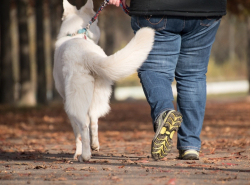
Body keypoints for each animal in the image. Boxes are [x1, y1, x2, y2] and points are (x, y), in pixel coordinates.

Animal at [53, 0, 154, 162]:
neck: (77, 34)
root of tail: (86, 54)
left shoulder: (66, 103)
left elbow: (76, 134)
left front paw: (77, 153)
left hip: (75, 101)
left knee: (84, 126)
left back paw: (85, 156)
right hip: (98, 95)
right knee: (94, 120)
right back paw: (94, 146)